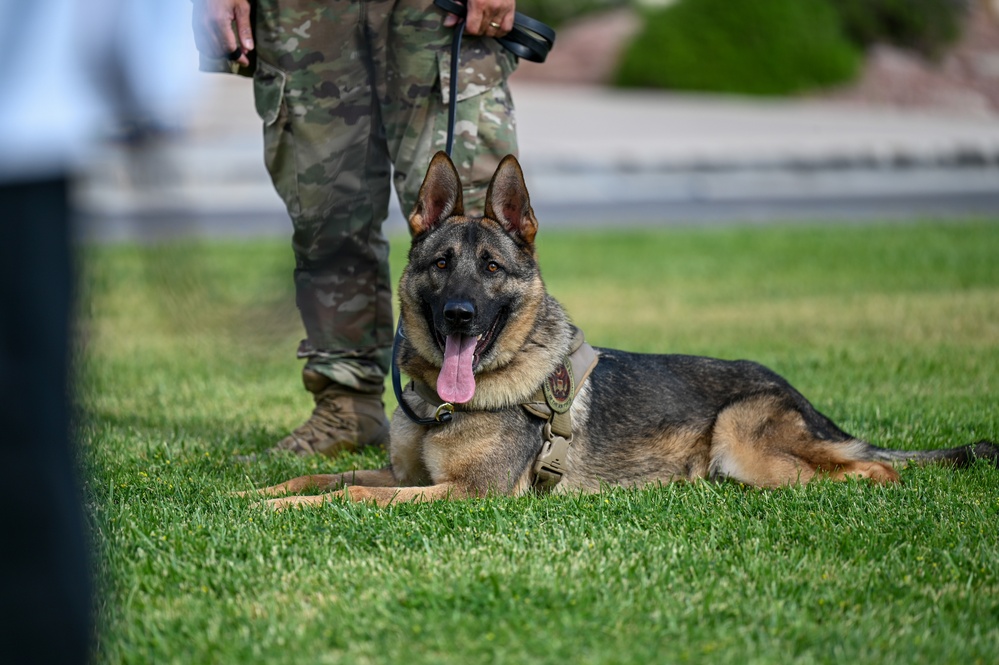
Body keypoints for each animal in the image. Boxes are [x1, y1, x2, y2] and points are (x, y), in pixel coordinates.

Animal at [248, 150, 992, 506]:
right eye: (440, 266)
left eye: (491, 268)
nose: (460, 314)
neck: (447, 403)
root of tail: (796, 394)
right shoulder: (398, 471)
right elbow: (325, 479)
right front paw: (254, 493)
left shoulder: (466, 495)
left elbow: (353, 499)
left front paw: (277, 511)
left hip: (742, 440)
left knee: (873, 472)